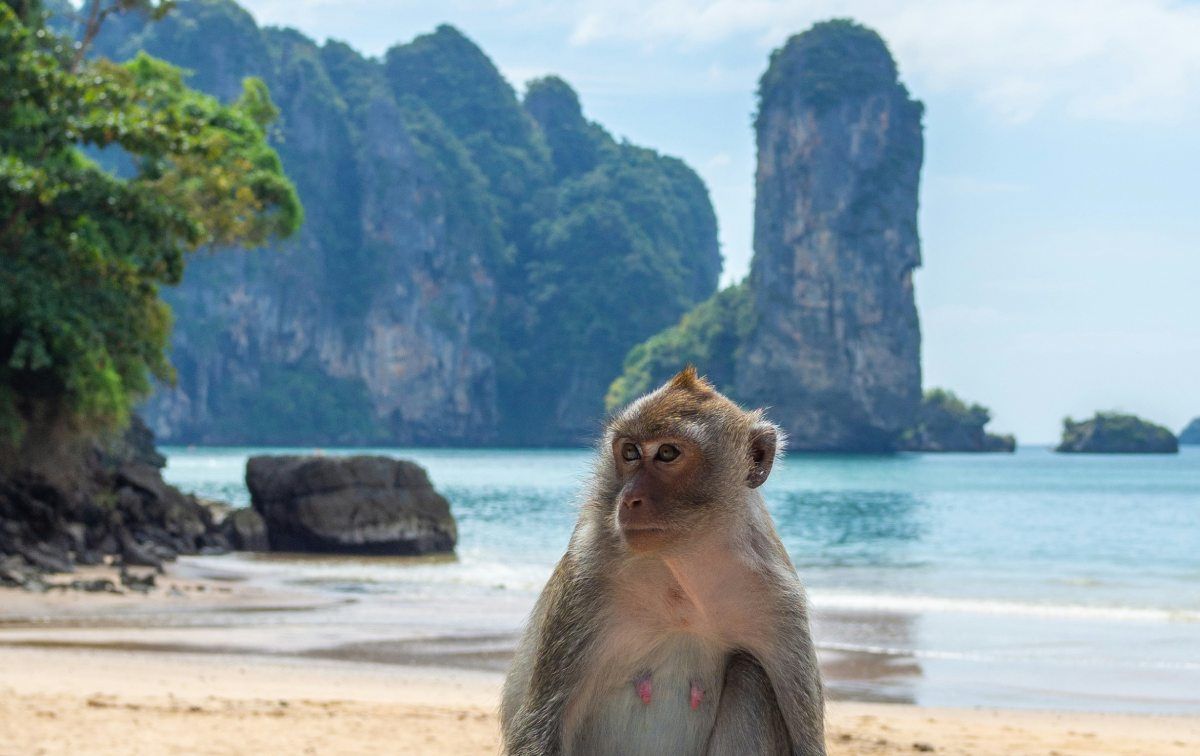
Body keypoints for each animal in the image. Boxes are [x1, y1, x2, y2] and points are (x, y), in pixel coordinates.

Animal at [501, 366, 826, 755]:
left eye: (667, 453)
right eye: (629, 452)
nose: (629, 498)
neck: (684, 570)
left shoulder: (781, 603)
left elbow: (807, 743)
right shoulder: (586, 577)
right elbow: (539, 725)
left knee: (750, 674)